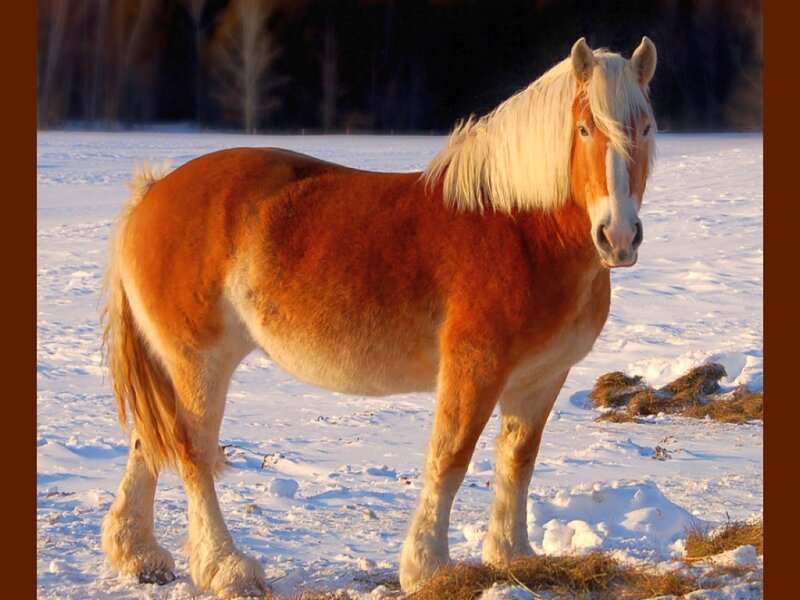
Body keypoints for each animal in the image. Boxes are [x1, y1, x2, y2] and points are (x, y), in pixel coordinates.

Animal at [100, 37, 657, 598]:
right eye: (585, 128)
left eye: (646, 127)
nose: (619, 236)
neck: (521, 229)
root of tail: (152, 193)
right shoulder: (475, 367)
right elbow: (450, 457)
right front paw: (428, 566)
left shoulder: (541, 378)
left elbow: (518, 460)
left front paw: (512, 555)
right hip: (200, 361)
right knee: (192, 453)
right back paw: (226, 567)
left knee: (148, 442)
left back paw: (140, 555)